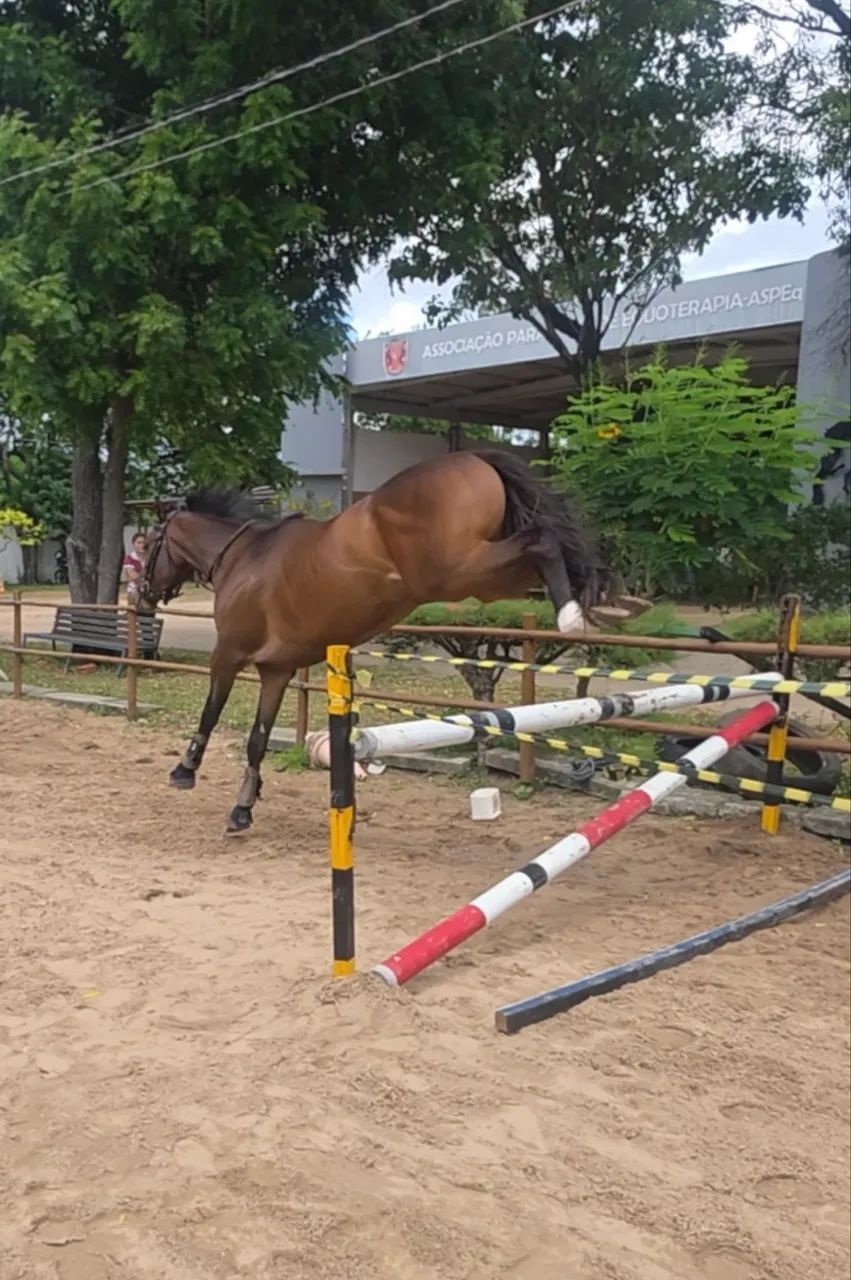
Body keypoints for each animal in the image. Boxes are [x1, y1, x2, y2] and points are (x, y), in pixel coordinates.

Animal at [141, 449, 648, 833]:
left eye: (148, 544)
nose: (143, 592)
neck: (242, 557)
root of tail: (471, 457)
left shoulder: (228, 655)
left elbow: (210, 713)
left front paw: (184, 770)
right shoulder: (276, 672)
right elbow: (256, 741)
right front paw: (243, 808)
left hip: (457, 572)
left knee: (541, 540)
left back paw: (573, 615)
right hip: (485, 577)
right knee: (554, 549)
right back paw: (610, 603)